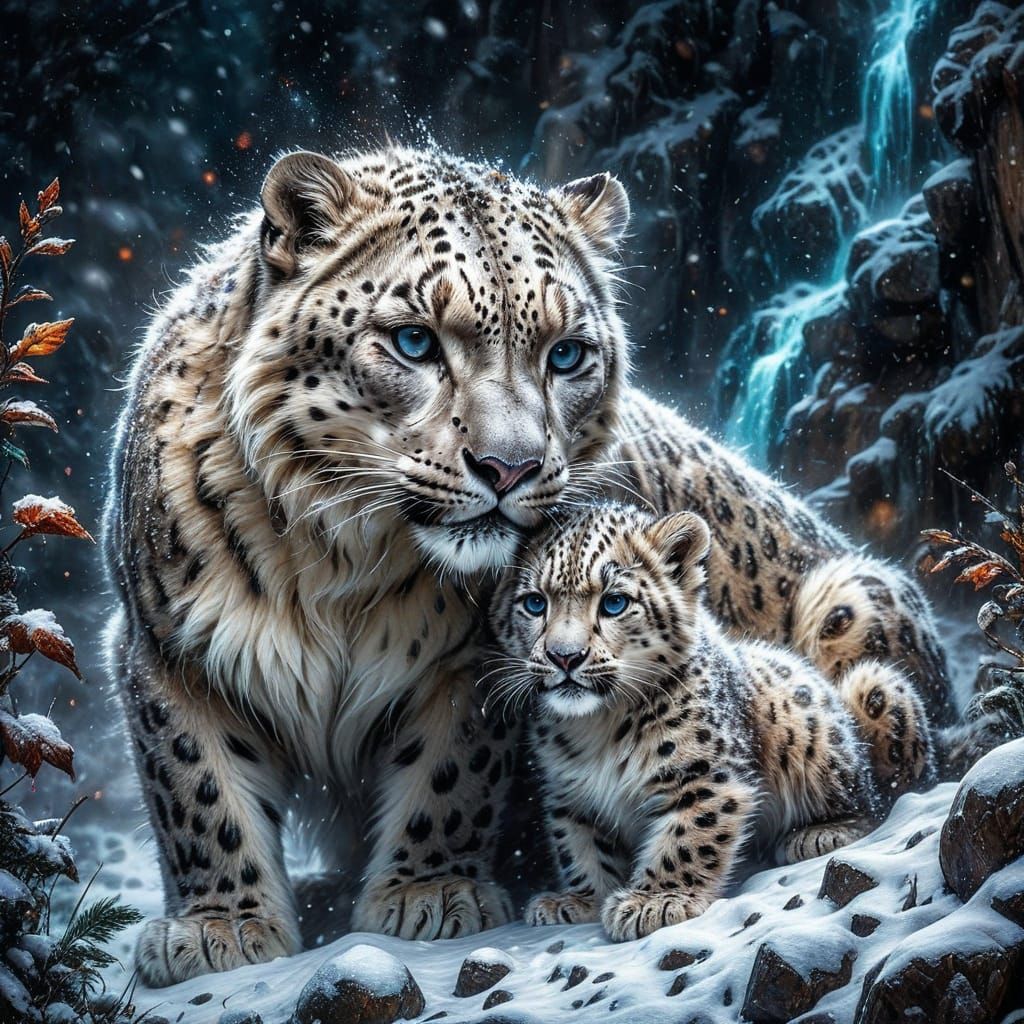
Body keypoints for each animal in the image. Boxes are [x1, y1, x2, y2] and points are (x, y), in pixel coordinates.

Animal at [489, 503, 934, 940]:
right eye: (535, 603)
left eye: (614, 602)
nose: (564, 656)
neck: (598, 728)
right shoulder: (570, 795)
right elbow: (580, 848)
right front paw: (578, 901)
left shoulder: (704, 777)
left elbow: (689, 837)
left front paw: (656, 901)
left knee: (877, 798)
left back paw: (819, 833)